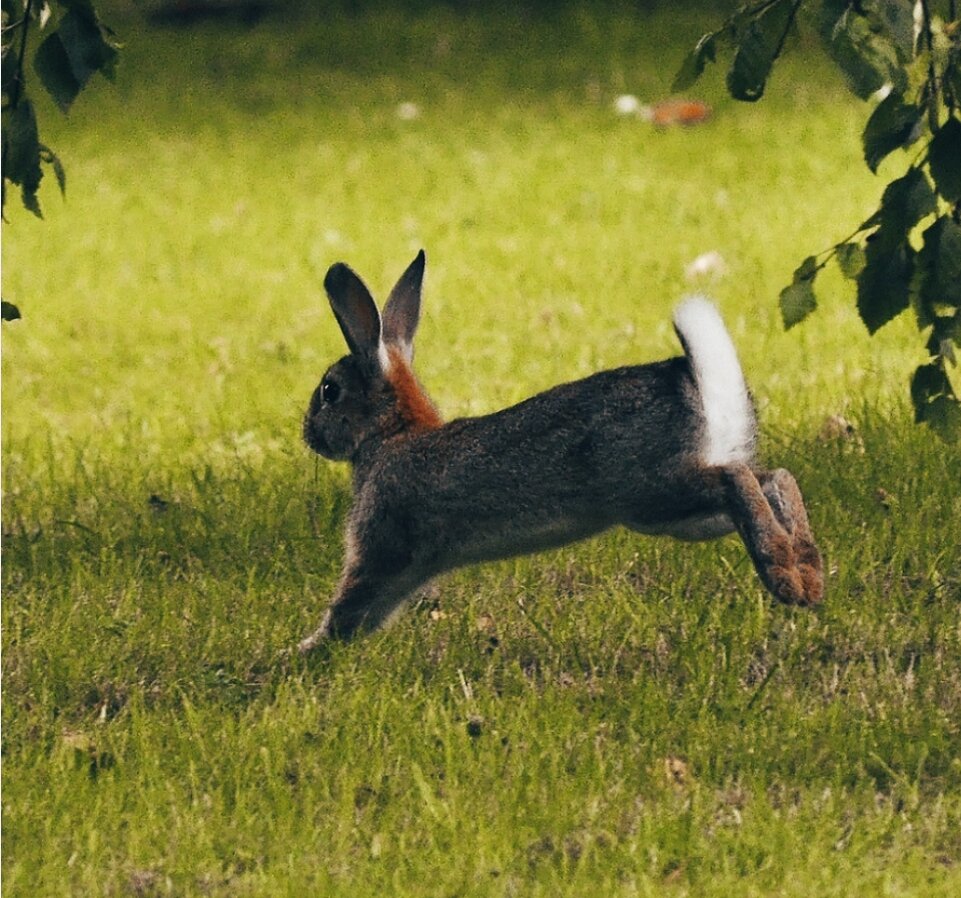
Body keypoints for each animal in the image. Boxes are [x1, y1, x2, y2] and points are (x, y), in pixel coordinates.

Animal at [298, 248, 816, 648]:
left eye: (329, 391)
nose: (308, 434)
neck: (392, 434)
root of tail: (696, 379)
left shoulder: (381, 548)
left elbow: (350, 604)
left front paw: (305, 652)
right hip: (686, 516)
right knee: (773, 478)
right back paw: (808, 573)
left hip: (651, 492)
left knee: (737, 478)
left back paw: (785, 576)